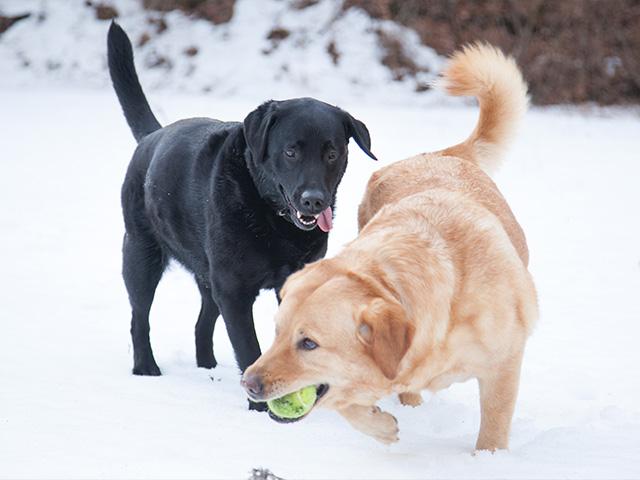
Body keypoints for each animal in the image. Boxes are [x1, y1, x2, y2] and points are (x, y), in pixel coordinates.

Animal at [105, 23, 376, 402]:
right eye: (291, 151)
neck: (272, 218)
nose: (314, 200)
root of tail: (153, 135)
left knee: (202, 322)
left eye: (332, 153)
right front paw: (262, 406)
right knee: (139, 317)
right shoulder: (233, 291)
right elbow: (248, 348)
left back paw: (206, 367)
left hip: (207, 277)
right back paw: (146, 367)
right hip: (141, 255)